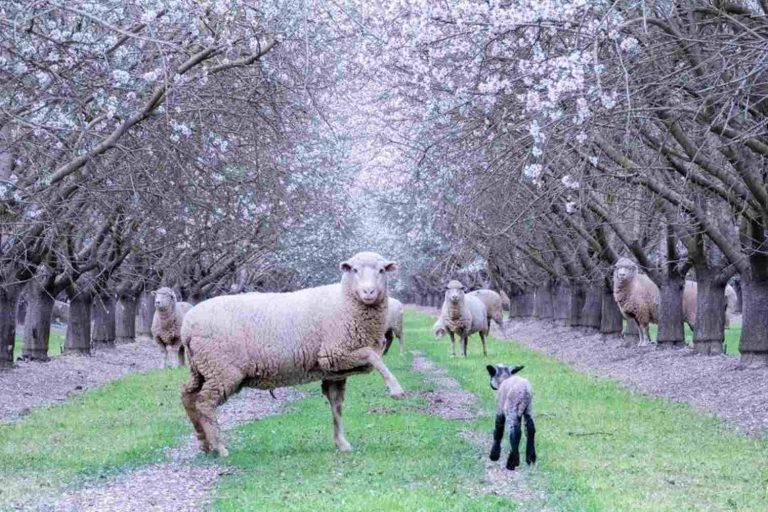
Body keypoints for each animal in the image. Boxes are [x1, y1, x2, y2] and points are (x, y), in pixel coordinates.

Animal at [180, 252, 404, 456]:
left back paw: (204, 442)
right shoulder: (334, 353)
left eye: (381, 270)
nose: (369, 292)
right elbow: (372, 355)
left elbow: (336, 406)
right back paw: (219, 447)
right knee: (205, 402)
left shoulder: (335, 371)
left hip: (203, 368)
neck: (345, 301)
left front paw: (341, 443)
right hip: (222, 368)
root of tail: (186, 327)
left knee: (188, 396)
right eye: (355, 270)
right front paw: (396, 389)